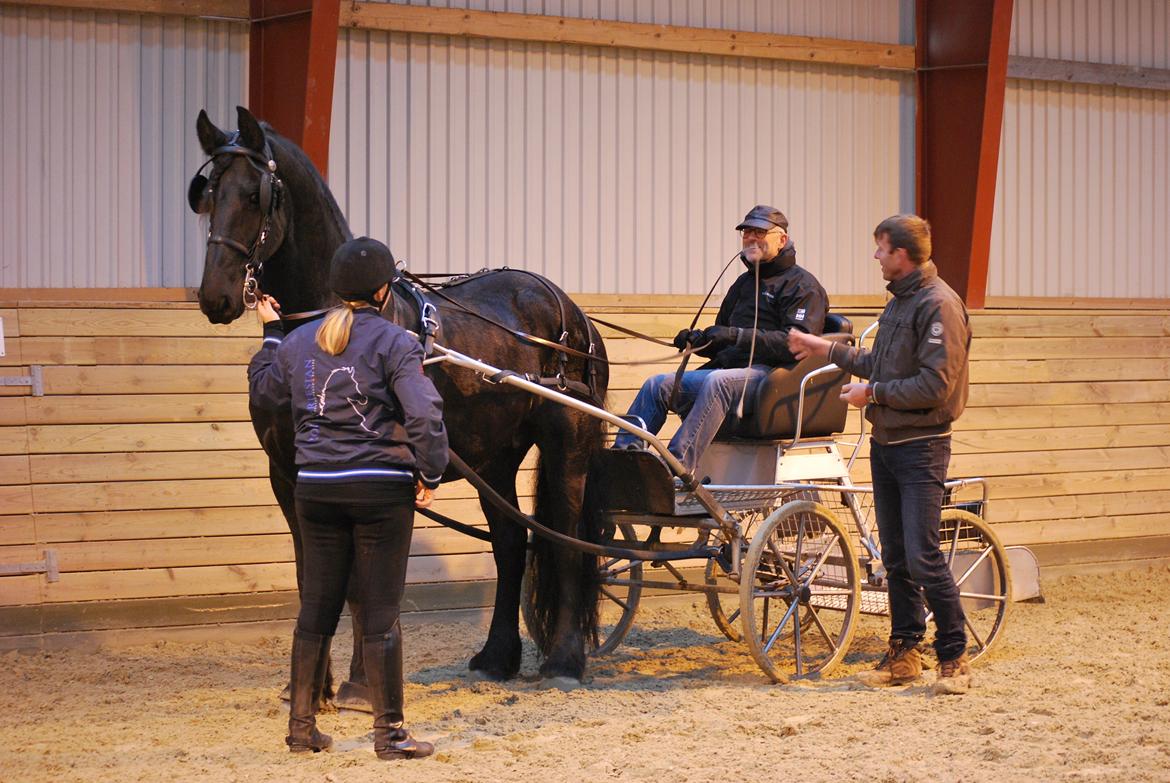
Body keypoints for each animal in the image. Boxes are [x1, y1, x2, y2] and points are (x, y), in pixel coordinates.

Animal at [187, 105, 608, 683]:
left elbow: (363, 585)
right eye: (208, 194)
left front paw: (362, 680)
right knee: (510, 544)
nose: (216, 297)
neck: (333, 325)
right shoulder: (289, 476)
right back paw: (496, 656)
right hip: (494, 457)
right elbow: (313, 578)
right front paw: (316, 682)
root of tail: (571, 312)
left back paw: (564, 659)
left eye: (255, 195)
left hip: (568, 443)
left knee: (564, 540)